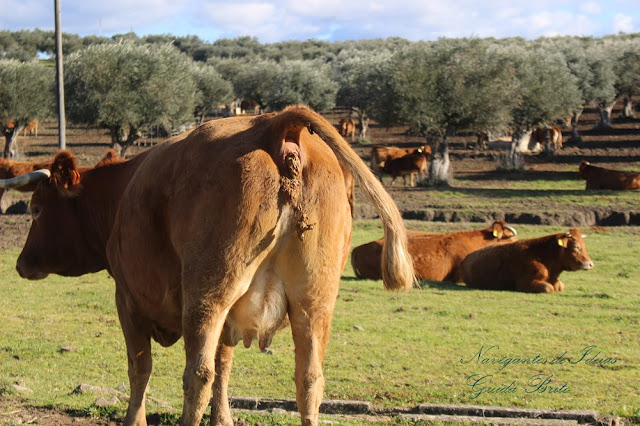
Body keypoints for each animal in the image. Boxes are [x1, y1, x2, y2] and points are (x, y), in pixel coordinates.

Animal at [6, 105, 414, 426]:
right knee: (309, 380)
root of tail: (275, 127)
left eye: (36, 209)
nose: (21, 263)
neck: (122, 192)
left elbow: (141, 368)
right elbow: (224, 369)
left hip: (207, 295)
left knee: (197, 375)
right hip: (313, 302)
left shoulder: (128, 300)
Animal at [460, 228, 593, 293]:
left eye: (584, 245)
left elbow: (561, 286)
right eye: (576, 246)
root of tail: (466, 258)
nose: (591, 264)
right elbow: (548, 288)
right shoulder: (525, 283)